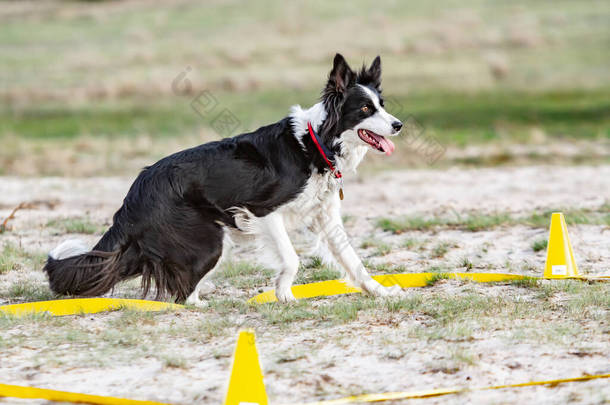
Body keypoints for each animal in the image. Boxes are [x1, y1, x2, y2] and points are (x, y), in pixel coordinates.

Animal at [44, 53, 404, 304]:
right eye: (365, 109)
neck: (316, 142)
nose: (398, 125)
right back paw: (200, 302)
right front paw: (284, 294)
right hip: (207, 241)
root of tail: (134, 194)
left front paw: (379, 292)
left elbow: (353, 260)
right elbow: (291, 257)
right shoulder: (263, 211)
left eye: (382, 105)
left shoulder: (325, 215)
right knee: (181, 295)